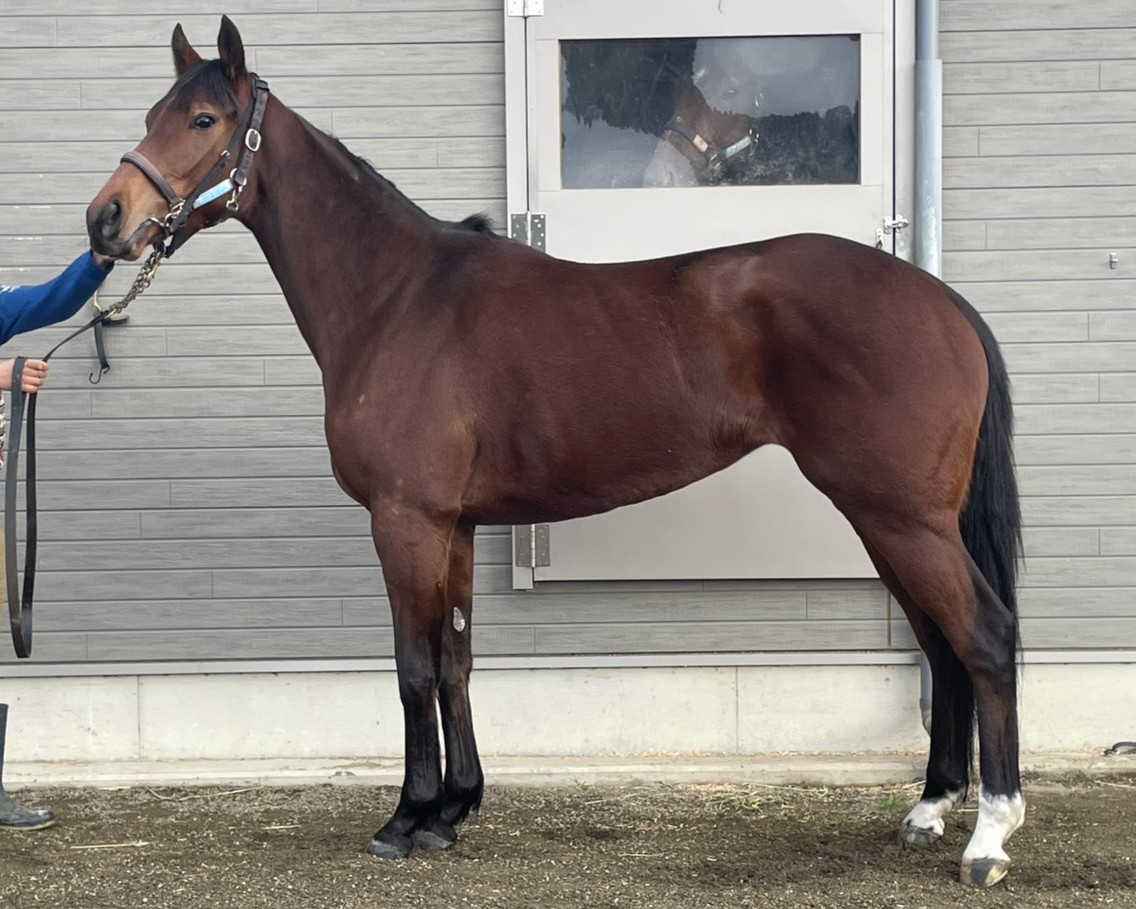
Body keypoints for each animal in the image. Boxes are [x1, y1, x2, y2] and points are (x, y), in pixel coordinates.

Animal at [86, 17, 1024, 887]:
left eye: (204, 118)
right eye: (152, 113)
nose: (106, 219)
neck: (395, 297)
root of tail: (941, 300)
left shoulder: (406, 520)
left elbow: (413, 667)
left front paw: (406, 818)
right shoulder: (455, 525)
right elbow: (456, 658)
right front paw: (454, 808)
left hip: (900, 517)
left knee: (982, 634)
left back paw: (989, 834)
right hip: (887, 519)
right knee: (941, 642)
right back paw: (929, 808)